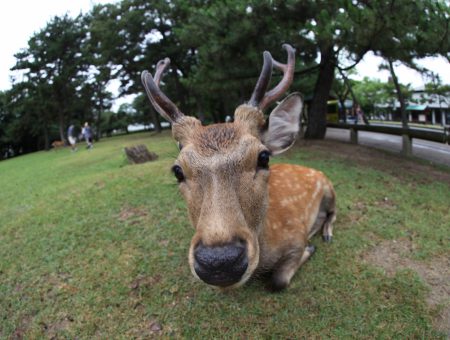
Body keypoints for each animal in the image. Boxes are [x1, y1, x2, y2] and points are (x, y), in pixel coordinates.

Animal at [142, 43, 336, 290]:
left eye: (263, 157)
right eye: (177, 170)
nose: (220, 262)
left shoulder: (297, 236)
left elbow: (278, 280)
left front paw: (311, 248)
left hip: (331, 189)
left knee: (333, 213)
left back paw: (326, 233)